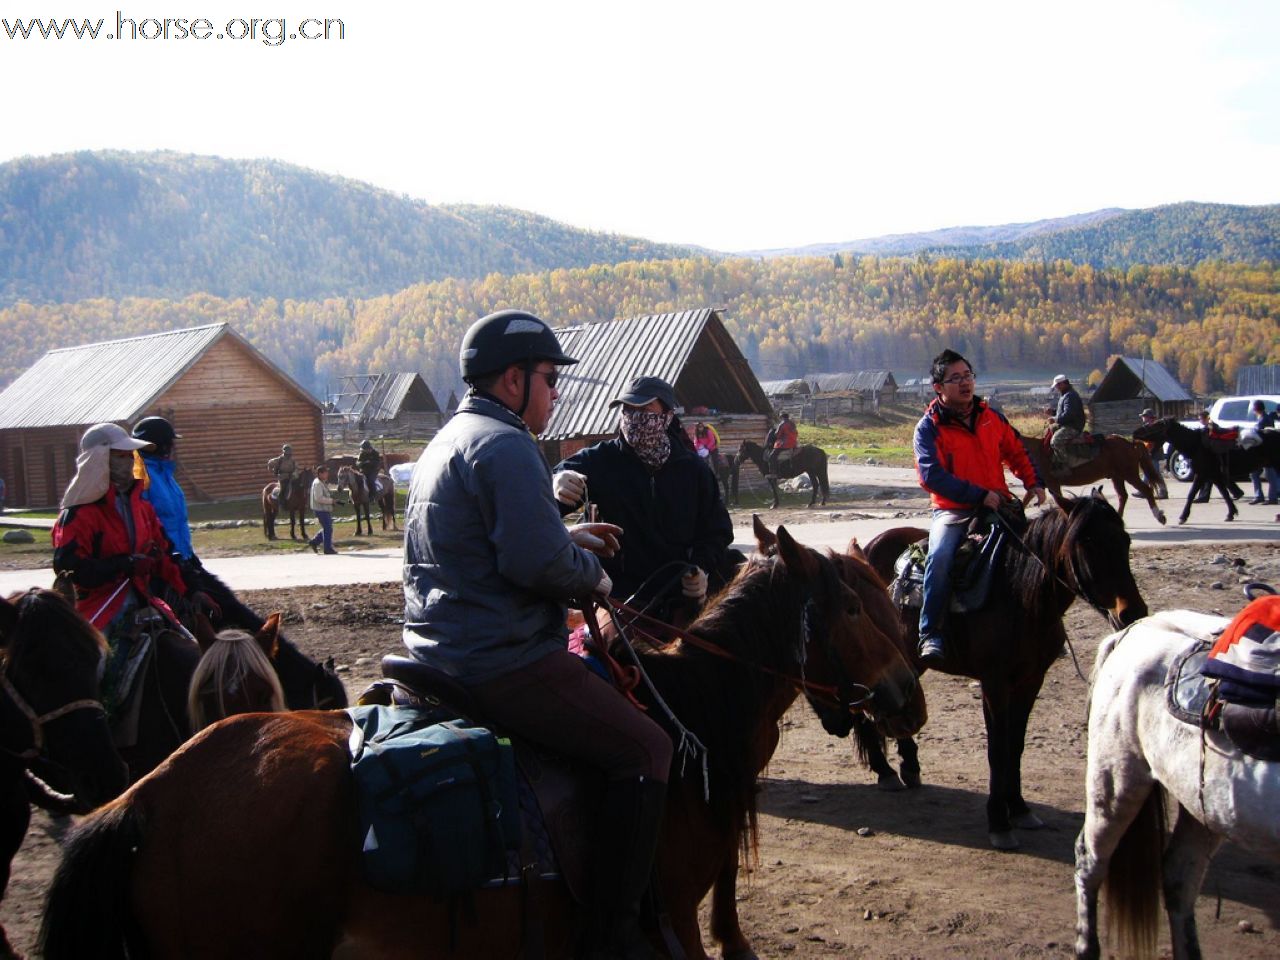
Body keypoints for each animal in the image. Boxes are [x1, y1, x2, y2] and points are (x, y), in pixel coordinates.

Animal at [40, 527, 921, 960]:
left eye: (889, 596)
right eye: (851, 609)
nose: (907, 700)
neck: (687, 721)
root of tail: (147, 799)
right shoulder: (668, 910)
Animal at [860, 496, 1152, 849]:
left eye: (1125, 541)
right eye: (1088, 543)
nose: (1132, 612)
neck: (1019, 594)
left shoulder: (1030, 681)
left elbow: (1016, 745)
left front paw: (1020, 808)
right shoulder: (995, 684)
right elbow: (998, 750)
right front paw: (999, 822)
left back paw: (909, 766)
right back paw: (885, 771)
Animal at [1013, 427, 1167, 527]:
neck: (1033, 452)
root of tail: (1131, 444)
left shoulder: (1053, 484)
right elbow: (1025, 501)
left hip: (1129, 474)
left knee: (1146, 490)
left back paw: (1159, 516)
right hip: (1117, 476)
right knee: (1122, 496)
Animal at [1070, 611, 1280, 957]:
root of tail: (1138, 627)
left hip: (1206, 807)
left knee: (1179, 877)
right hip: (1117, 778)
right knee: (1091, 860)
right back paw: (1086, 947)